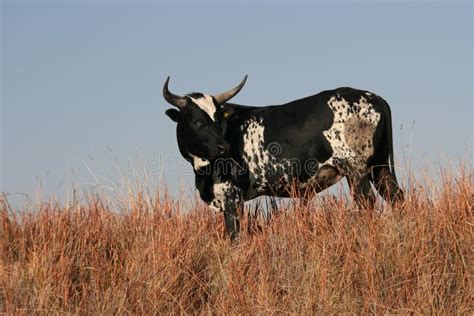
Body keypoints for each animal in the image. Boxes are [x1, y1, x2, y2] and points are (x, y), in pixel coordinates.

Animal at [163, 76, 404, 239]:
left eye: (217, 118)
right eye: (196, 121)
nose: (224, 147)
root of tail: (375, 97)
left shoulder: (232, 197)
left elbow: (235, 235)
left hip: (356, 170)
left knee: (367, 203)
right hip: (380, 167)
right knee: (396, 197)